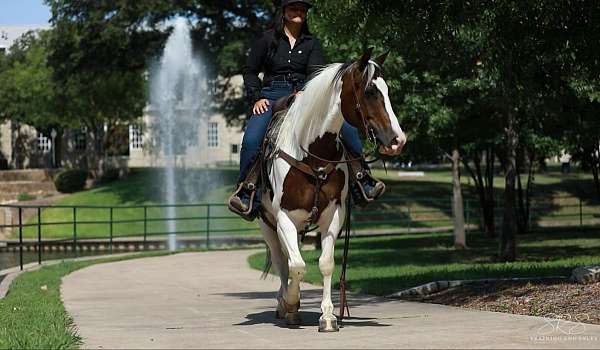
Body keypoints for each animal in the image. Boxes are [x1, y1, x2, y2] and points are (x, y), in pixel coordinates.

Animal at [258, 48, 408, 330]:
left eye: (387, 89)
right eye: (370, 91)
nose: (397, 140)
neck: (312, 155)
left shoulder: (334, 214)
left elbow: (325, 263)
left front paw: (327, 316)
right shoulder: (284, 218)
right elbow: (296, 265)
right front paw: (291, 303)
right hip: (267, 224)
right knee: (282, 262)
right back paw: (283, 305)